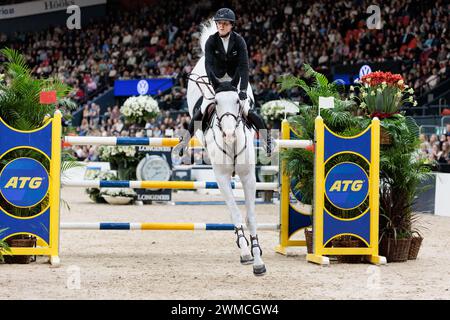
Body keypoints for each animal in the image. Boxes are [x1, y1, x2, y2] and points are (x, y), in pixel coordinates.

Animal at [185, 19, 266, 276]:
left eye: (238, 101)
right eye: (217, 103)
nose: (229, 134)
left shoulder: (248, 177)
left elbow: (251, 216)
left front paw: (258, 258)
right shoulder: (220, 177)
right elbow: (235, 212)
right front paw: (245, 251)